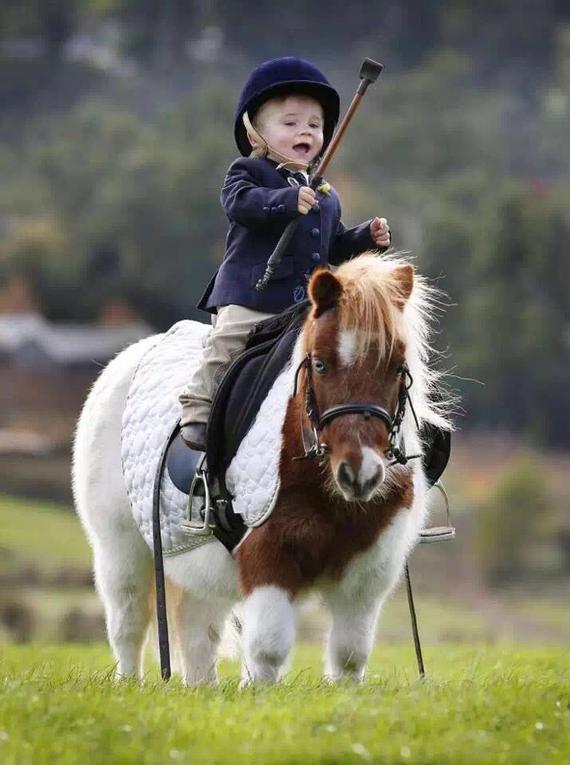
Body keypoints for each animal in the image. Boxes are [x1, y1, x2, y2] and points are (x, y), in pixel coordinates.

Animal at [72, 253, 451, 686]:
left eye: (396, 366)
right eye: (319, 364)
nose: (360, 473)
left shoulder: (367, 576)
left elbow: (350, 657)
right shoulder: (268, 557)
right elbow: (267, 652)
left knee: (198, 633)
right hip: (120, 549)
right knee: (128, 627)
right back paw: (129, 683)